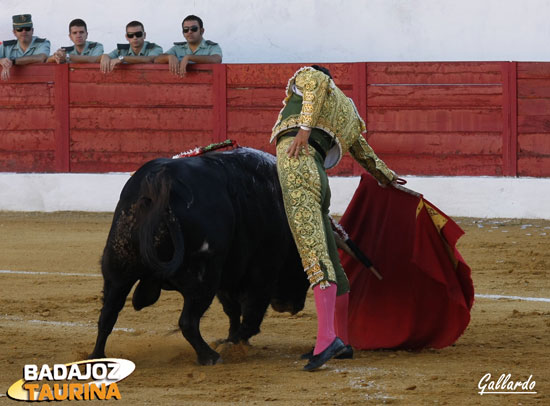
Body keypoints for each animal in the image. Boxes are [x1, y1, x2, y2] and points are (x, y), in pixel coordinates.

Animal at [92, 147, 312, 364]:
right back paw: (210, 356)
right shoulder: (262, 273)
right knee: (188, 321)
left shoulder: (227, 274)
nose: (292, 307)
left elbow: (233, 310)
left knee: (108, 314)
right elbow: (251, 315)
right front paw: (233, 343)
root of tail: (159, 180)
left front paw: (232, 340)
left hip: (118, 268)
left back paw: (97, 356)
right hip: (203, 277)